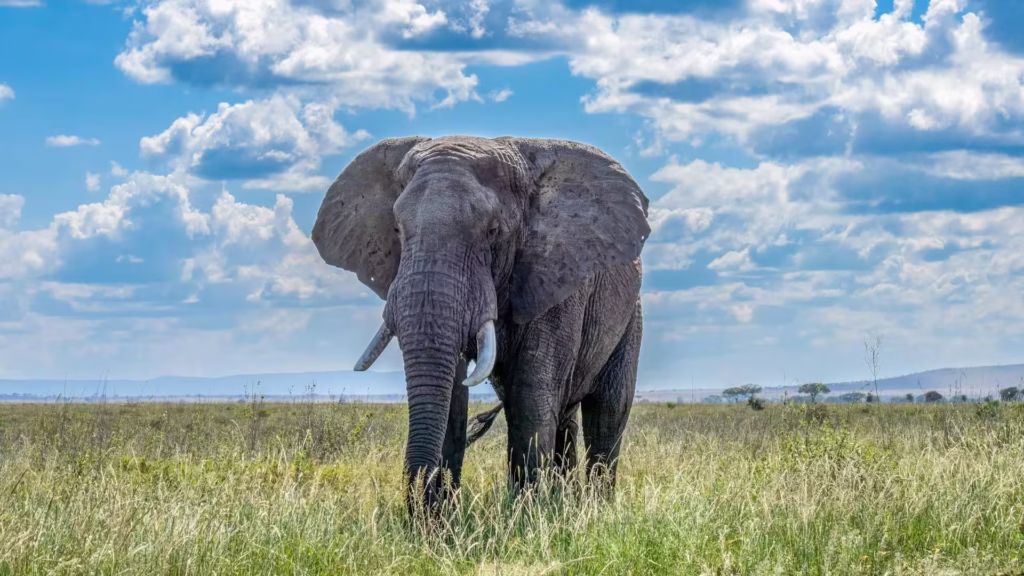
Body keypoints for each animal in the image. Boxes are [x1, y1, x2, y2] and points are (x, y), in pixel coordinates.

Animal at [310, 135, 650, 513]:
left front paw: (526, 517)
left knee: (608, 410)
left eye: (493, 231)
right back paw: (565, 501)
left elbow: (530, 398)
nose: (421, 513)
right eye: (397, 229)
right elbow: (453, 399)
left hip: (630, 315)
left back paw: (592, 507)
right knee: (564, 416)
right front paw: (443, 519)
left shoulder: (558, 280)